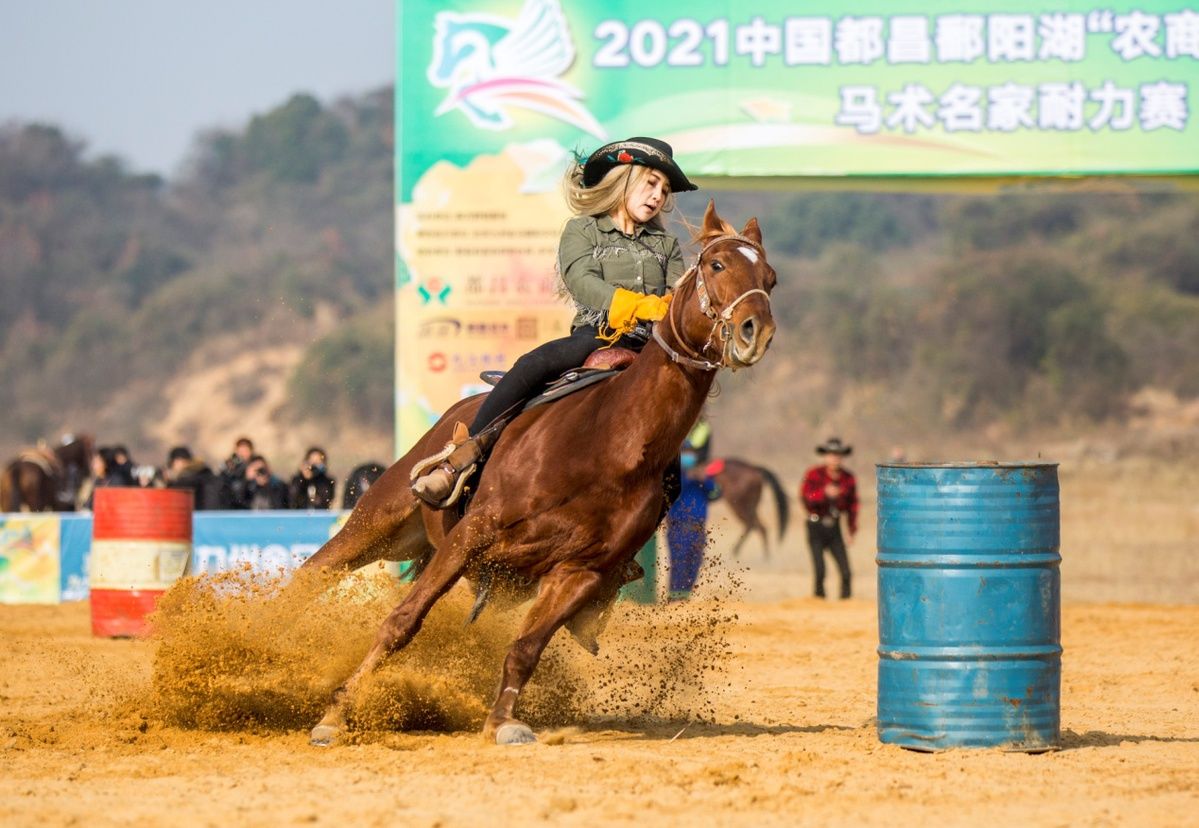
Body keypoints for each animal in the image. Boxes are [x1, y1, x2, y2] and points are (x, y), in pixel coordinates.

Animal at [294, 203, 772, 747]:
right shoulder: (471, 535)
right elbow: (401, 622)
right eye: (716, 265)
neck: (606, 442)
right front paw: (334, 716)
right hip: (381, 518)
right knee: (311, 575)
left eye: (770, 279)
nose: (756, 330)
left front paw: (503, 722)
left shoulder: (579, 573)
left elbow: (525, 649)